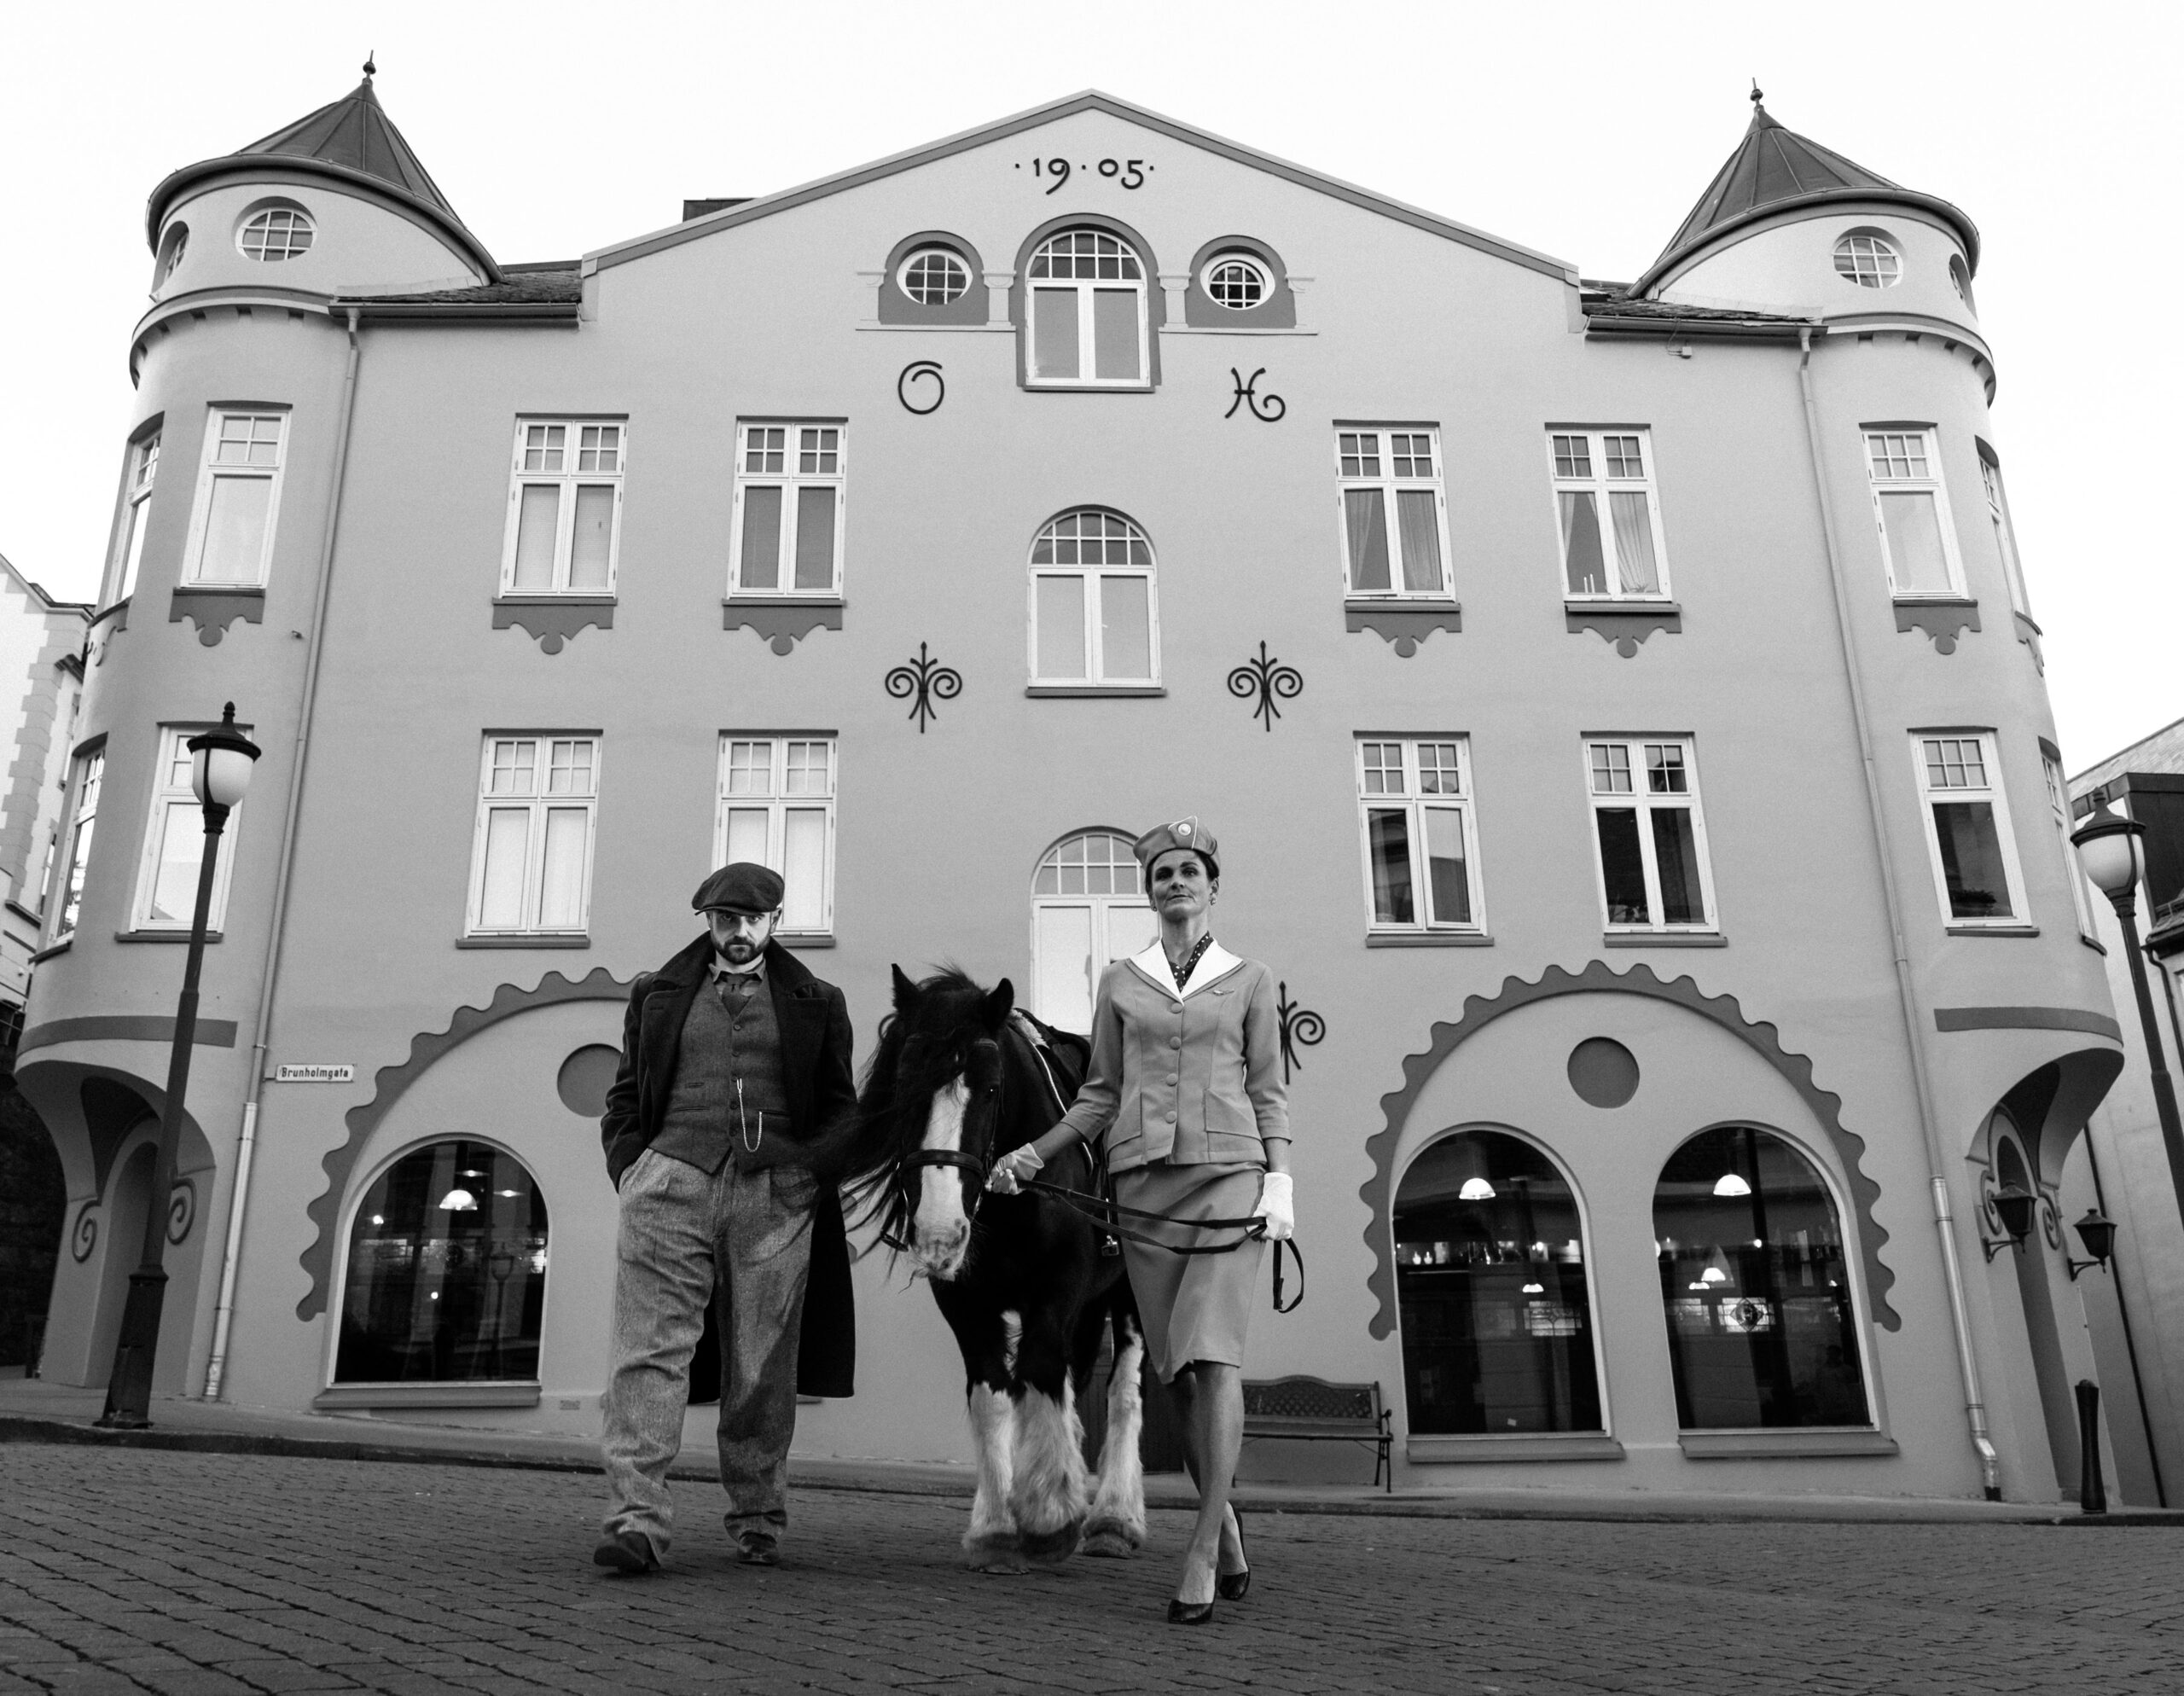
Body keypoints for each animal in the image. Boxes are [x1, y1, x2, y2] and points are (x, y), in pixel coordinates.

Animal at [834, 973, 1144, 1571]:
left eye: (994, 1090)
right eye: (903, 1084)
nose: (939, 1230)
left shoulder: (1056, 1291)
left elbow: (1041, 1371)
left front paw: (1049, 1518)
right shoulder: (964, 1300)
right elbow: (992, 1392)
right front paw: (999, 1524)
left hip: (1129, 1293)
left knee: (1122, 1392)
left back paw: (1114, 1518)